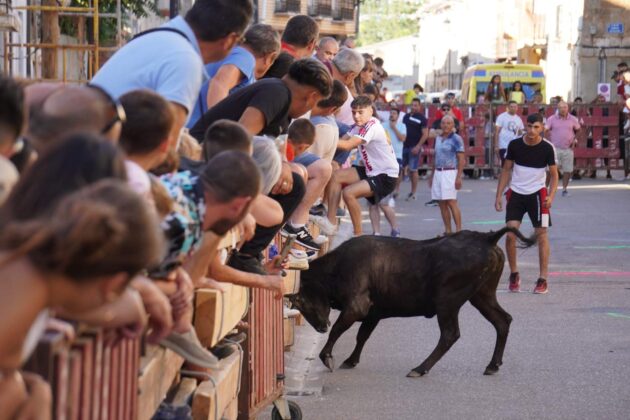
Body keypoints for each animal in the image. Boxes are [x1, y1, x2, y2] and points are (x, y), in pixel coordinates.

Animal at [288, 226, 536, 378]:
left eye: (301, 299)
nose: (321, 326)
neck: (338, 266)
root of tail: (486, 238)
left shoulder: (357, 307)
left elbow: (338, 330)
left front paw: (327, 357)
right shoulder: (373, 313)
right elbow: (362, 336)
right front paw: (350, 360)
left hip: (448, 302)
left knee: (450, 334)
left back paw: (419, 368)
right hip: (482, 295)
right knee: (502, 321)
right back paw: (492, 365)